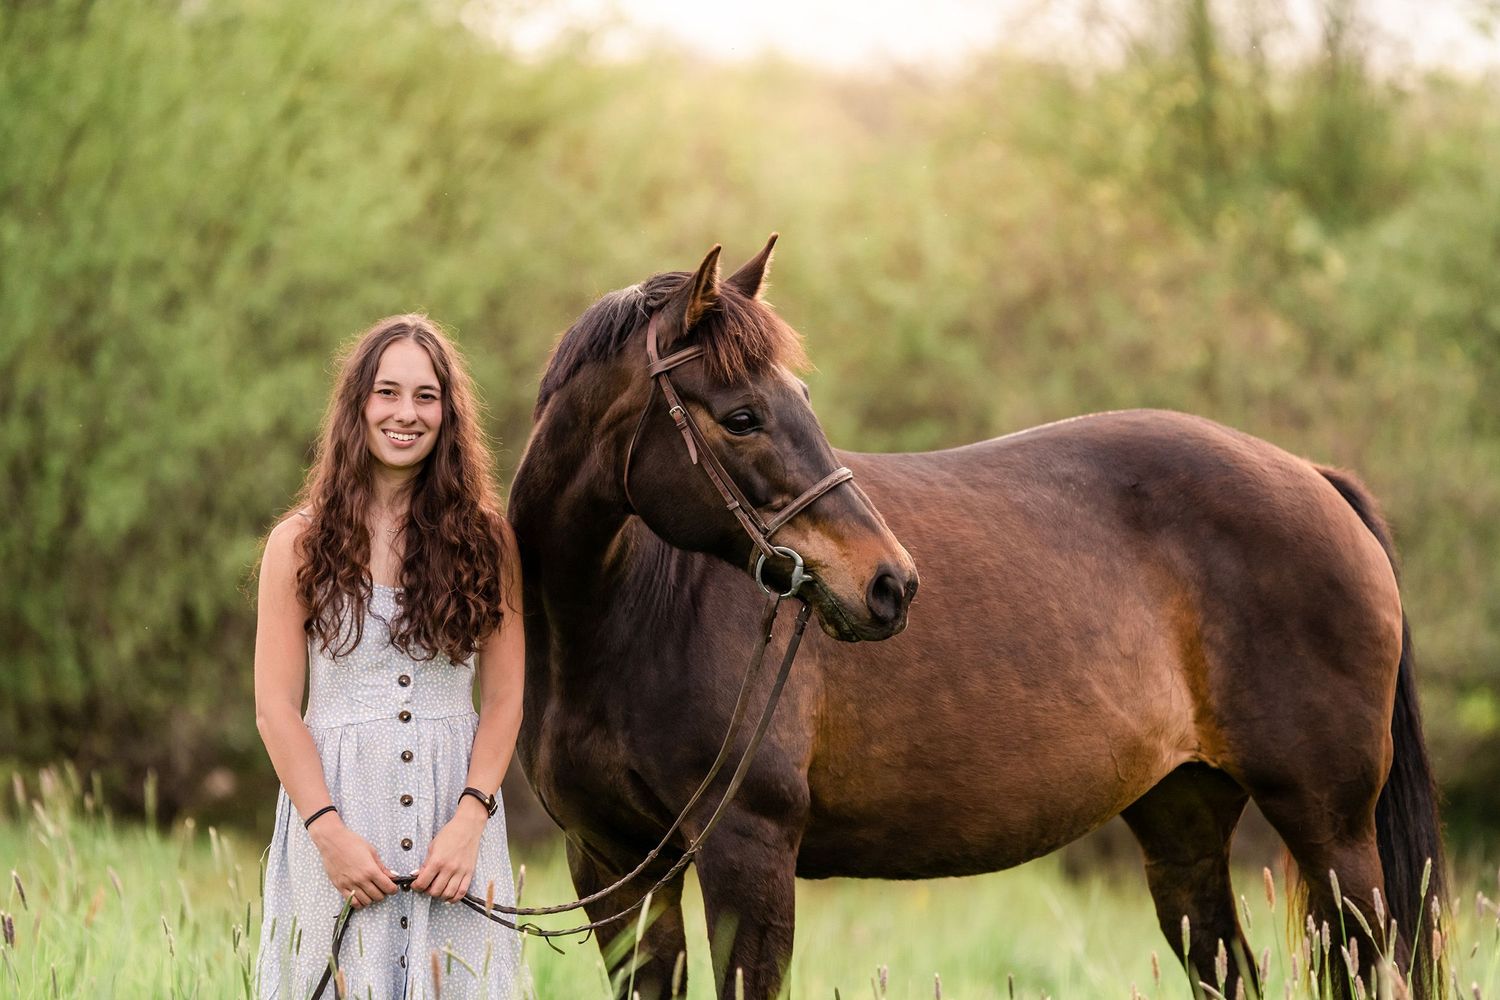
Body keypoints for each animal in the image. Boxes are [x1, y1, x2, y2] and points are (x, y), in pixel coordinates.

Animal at [507, 237, 1446, 1000]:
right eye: (742, 416)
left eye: (800, 398)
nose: (889, 584)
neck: (625, 616)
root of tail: (1317, 478)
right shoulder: (613, 865)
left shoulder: (748, 850)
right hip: (1184, 821)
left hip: (1332, 835)